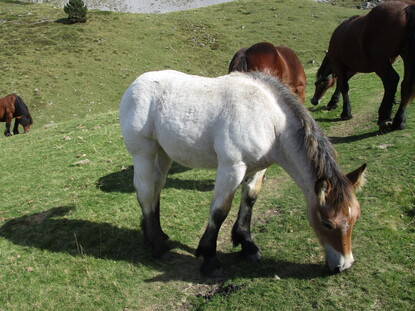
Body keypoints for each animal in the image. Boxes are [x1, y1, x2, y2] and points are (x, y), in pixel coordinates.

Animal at [120, 70, 368, 278]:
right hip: (144, 153)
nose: (344, 264)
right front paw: (210, 258)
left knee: (156, 189)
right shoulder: (232, 167)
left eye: (355, 217)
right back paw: (158, 246)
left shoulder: (258, 168)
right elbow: (220, 211)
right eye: (327, 223)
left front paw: (246, 243)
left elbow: (249, 199)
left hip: (163, 154)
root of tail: (135, 84)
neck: (270, 120)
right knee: (145, 191)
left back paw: (158, 236)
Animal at [312, 0, 415, 130]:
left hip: (380, 61)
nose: (314, 101)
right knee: (405, 85)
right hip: (404, 56)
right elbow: (340, 84)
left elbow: (344, 86)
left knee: (391, 80)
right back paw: (399, 120)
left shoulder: (338, 64)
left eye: (319, 84)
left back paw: (384, 116)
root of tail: (406, 8)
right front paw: (333, 102)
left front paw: (346, 112)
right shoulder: (352, 68)